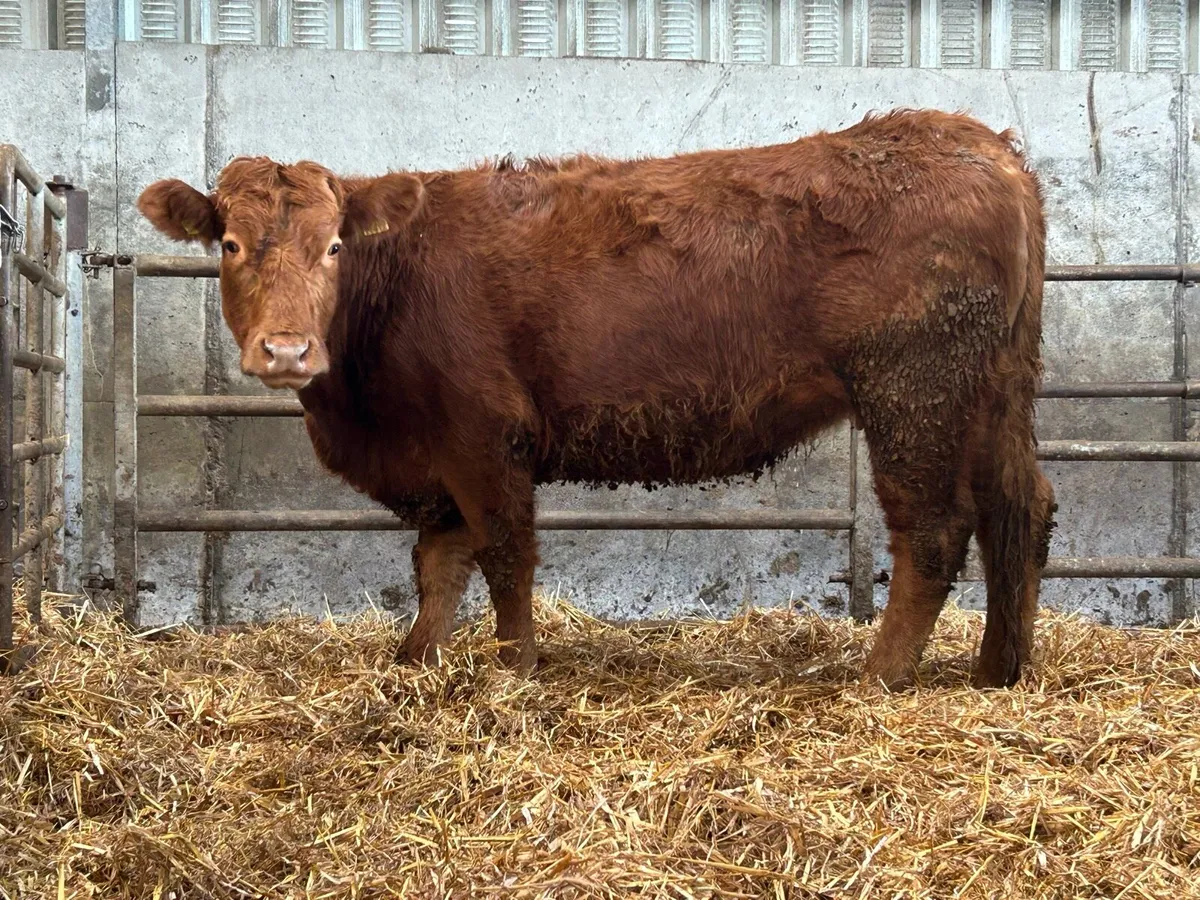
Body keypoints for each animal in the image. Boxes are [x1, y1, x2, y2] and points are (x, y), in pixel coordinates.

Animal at [137, 108, 1056, 689]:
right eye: (230, 243)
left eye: (333, 245)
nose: (287, 349)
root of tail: (978, 142)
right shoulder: (438, 459)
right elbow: (439, 565)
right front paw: (415, 661)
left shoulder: (483, 436)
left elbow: (504, 555)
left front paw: (512, 671)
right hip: (995, 390)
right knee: (1021, 508)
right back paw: (996, 673)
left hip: (913, 391)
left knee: (935, 530)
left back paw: (880, 678)